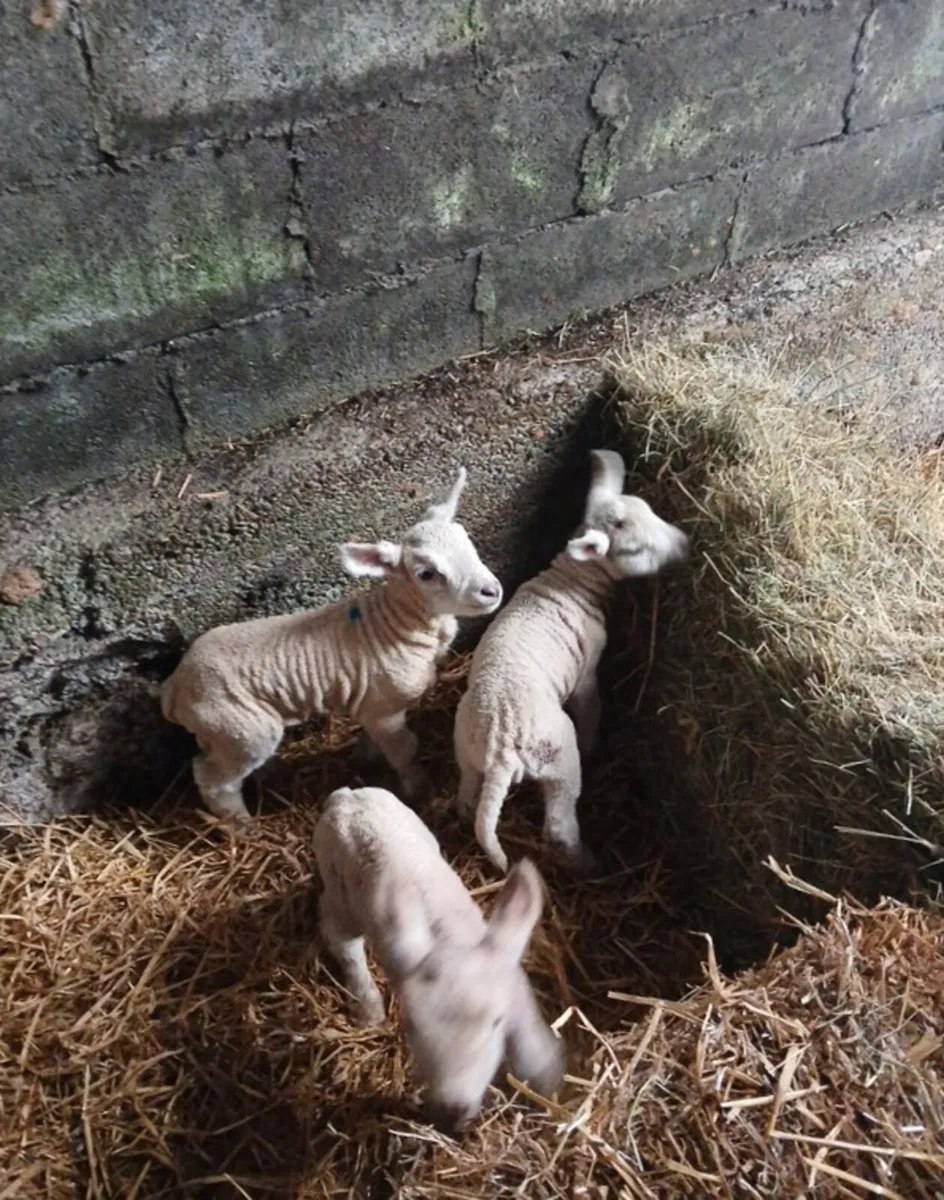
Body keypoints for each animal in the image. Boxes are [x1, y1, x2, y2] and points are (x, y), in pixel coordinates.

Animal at [160, 468, 502, 823]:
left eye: (467, 541)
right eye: (426, 573)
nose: (491, 591)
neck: (398, 623)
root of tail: (174, 687)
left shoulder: (373, 705)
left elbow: (372, 740)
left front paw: (366, 758)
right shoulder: (387, 708)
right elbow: (405, 751)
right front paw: (420, 790)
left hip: (220, 734)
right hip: (240, 730)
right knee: (214, 780)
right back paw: (241, 824)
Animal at [313, 784, 565, 1132]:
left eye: (495, 1022)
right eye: (411, 1026)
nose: (452, 1112)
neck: (450, 938)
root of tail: (346, 795)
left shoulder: (514, 987)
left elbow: (531, 1043)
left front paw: (549, 1082)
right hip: (338, 887)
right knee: (338, 934)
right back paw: (368, 1007)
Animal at [453, 449, 690, 874]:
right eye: (635, 551)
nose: (686, 543)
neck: (571, 581)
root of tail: (501, 751)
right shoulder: (588, 669)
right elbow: (590, 705)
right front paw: (595, 741)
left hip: (465, 747)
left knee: (466, 796)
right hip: (558, 757)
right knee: (559, 825)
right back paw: (588, 862)